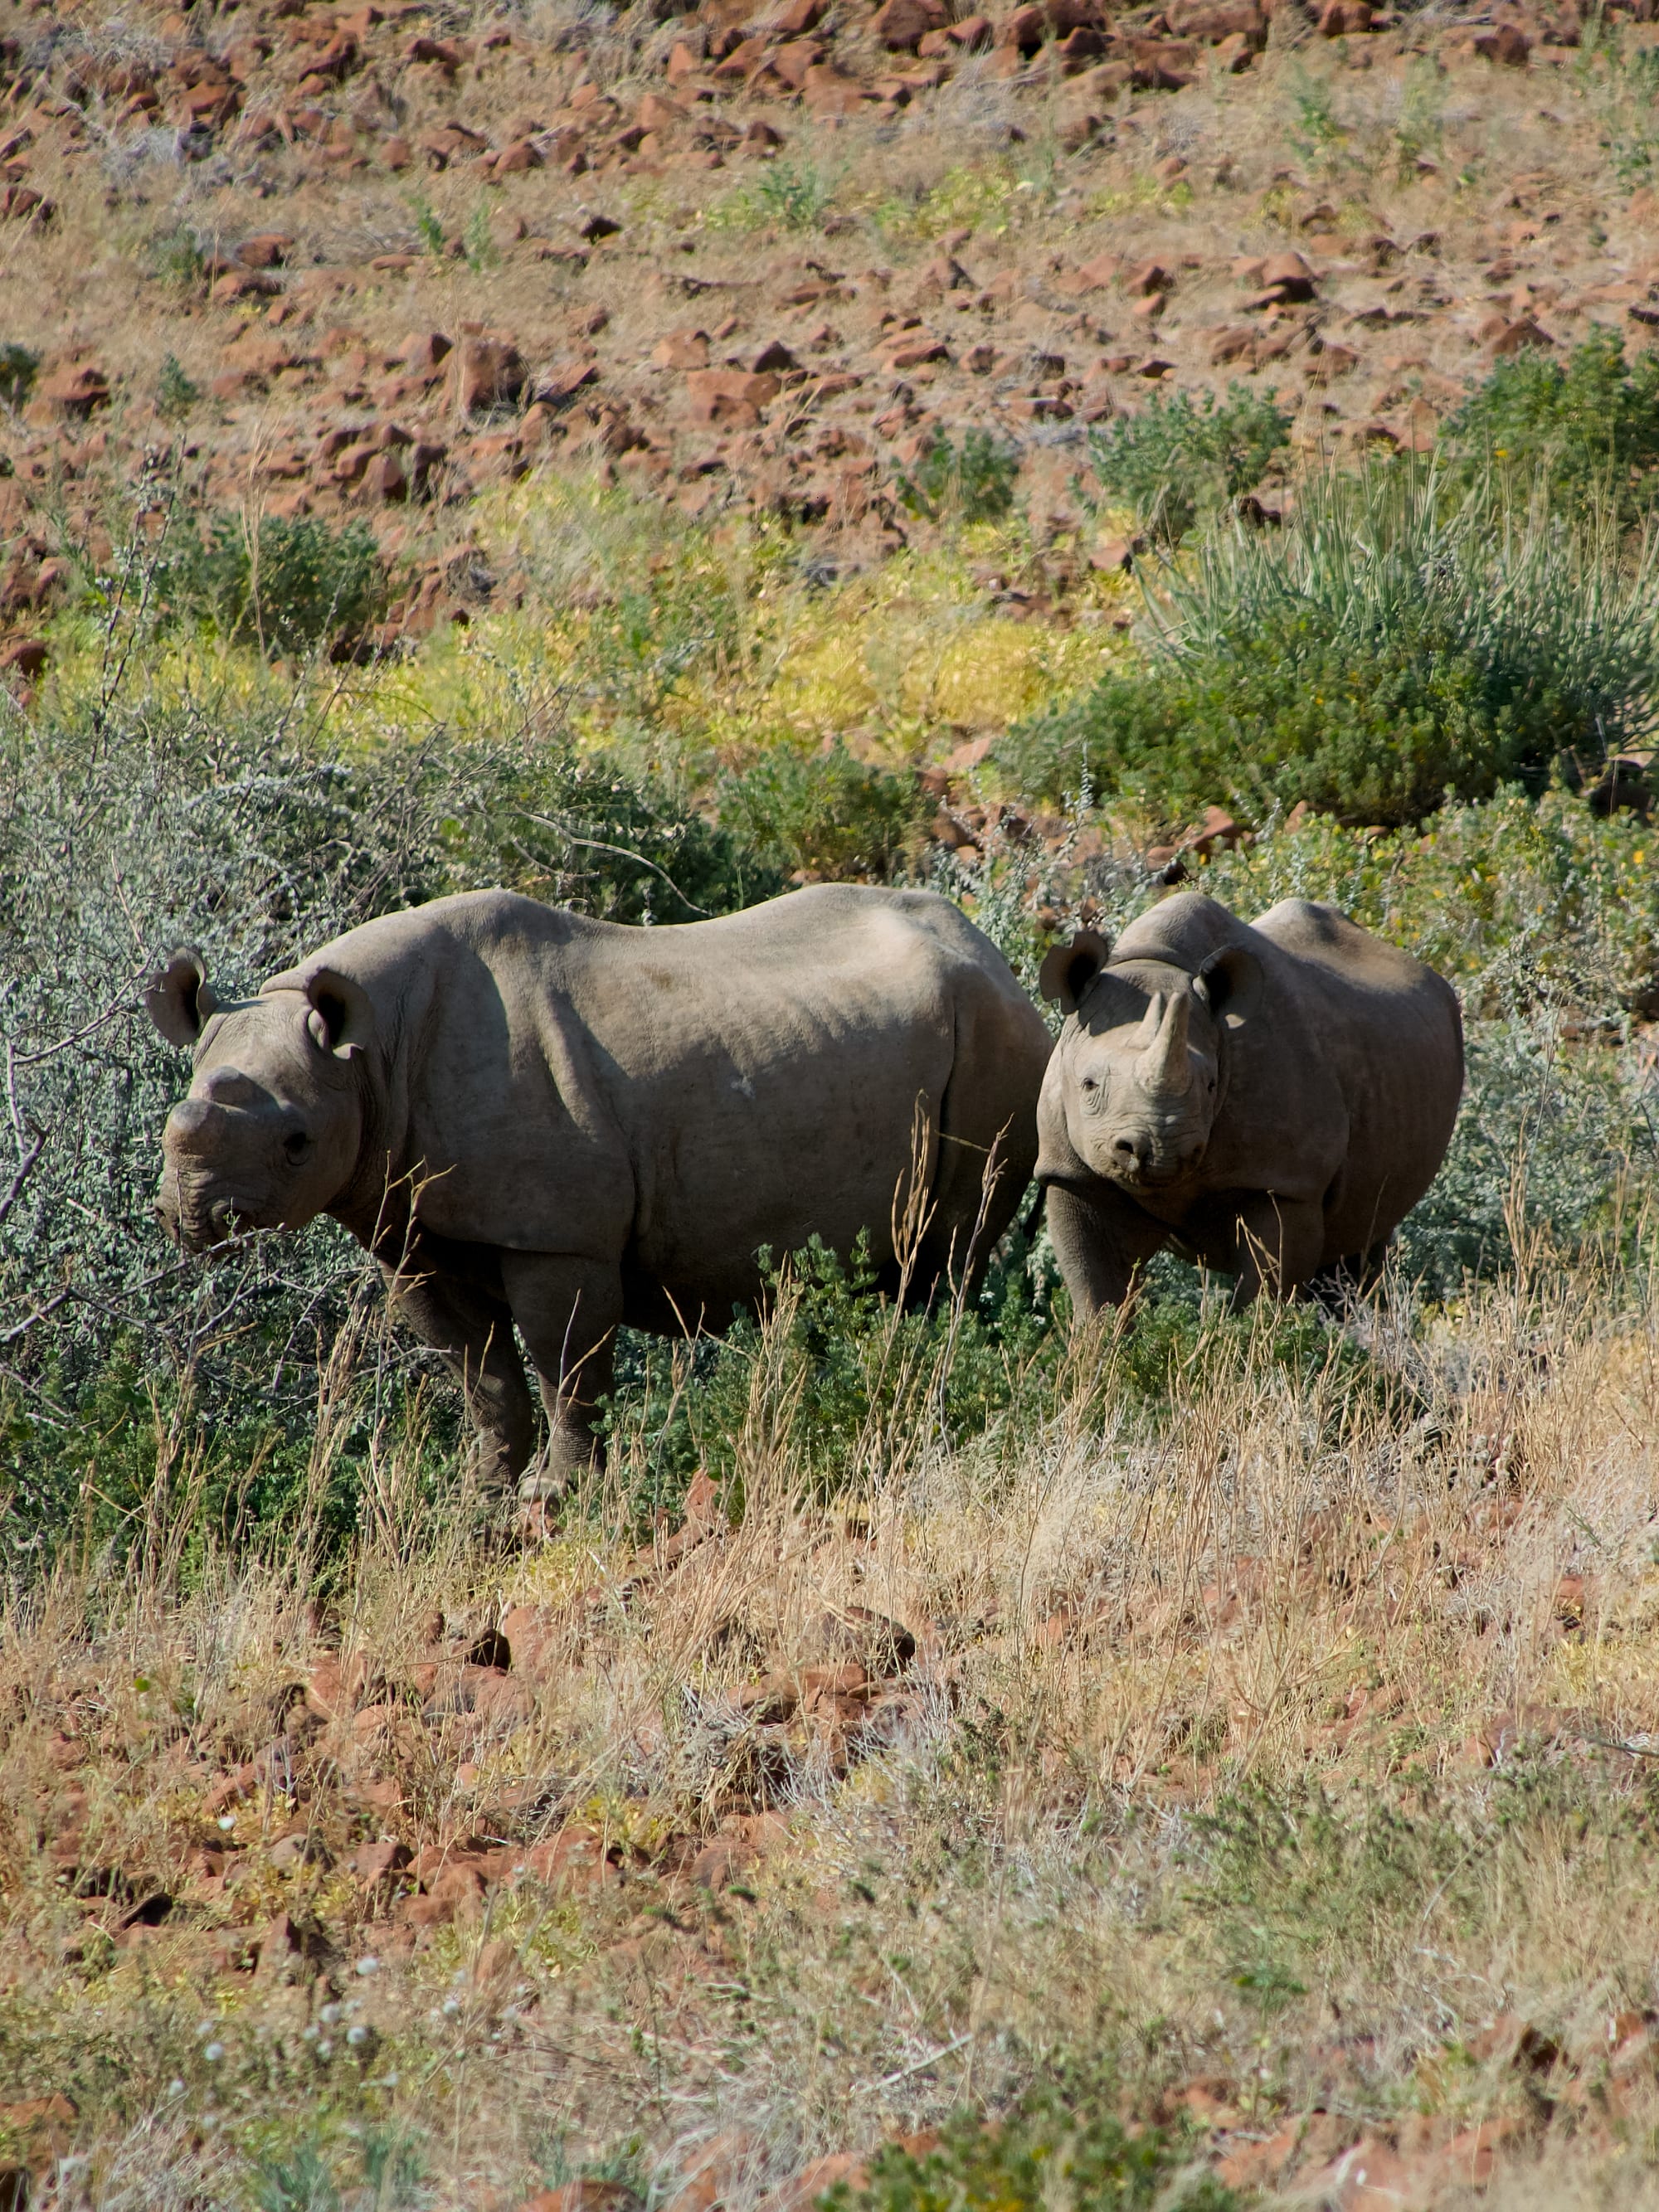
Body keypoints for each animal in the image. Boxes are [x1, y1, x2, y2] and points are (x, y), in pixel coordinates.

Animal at [148, 884, 1052, 1501]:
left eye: (297, 1142)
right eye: (167, 1121)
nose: (191, 1216)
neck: (373, 1052)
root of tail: (995, 954)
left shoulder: (558, 1234)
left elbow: (565, 1361)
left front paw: (558, 1494)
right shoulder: (411, 1228)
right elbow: (479, 1373)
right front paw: (481, 1495)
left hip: (998, 1044)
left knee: (949, 1257)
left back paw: (927, 1404)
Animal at [1035, 893, 1463, 1312]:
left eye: (1210, 1086)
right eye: (1088, 1085)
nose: (1160, 1151)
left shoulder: (1285, 1181)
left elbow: (1267, 1283)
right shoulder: (1072, 1172)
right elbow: (1097, 1289)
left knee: (1360, 1243)